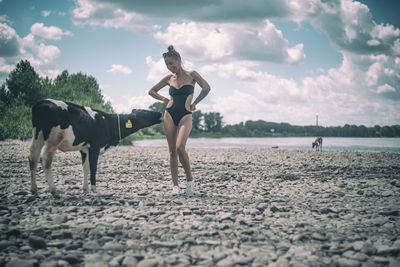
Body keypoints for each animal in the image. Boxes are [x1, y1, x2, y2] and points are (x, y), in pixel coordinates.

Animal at [28, 98, 162, 195]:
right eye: (145, 112)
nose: (160, 113)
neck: (108, 122)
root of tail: (41, 102)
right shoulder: (95, 146)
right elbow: (93, 167)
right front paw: (93, 189)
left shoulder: (84, 149)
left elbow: (86, 168)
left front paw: (85, 189)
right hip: (53, 139)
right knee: (45, 160)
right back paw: (53, 189)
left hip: (37, 135)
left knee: (32, 158)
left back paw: (34, 189)